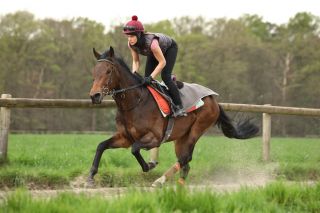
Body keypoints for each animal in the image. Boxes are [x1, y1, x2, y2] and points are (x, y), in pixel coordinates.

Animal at [88, 46, 260, 186]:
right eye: (94, 71)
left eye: (108, 71)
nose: (94, 96)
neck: (135, 103)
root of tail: (213, 99)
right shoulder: (125, 137)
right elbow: (101, 145)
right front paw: (90, 176)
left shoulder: (155, 138)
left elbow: (135, 148)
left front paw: (149, 165)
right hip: (181, 137)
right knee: (185, 163)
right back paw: (178, 184)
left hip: (197, 130)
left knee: (185, 158)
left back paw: (160, 181)